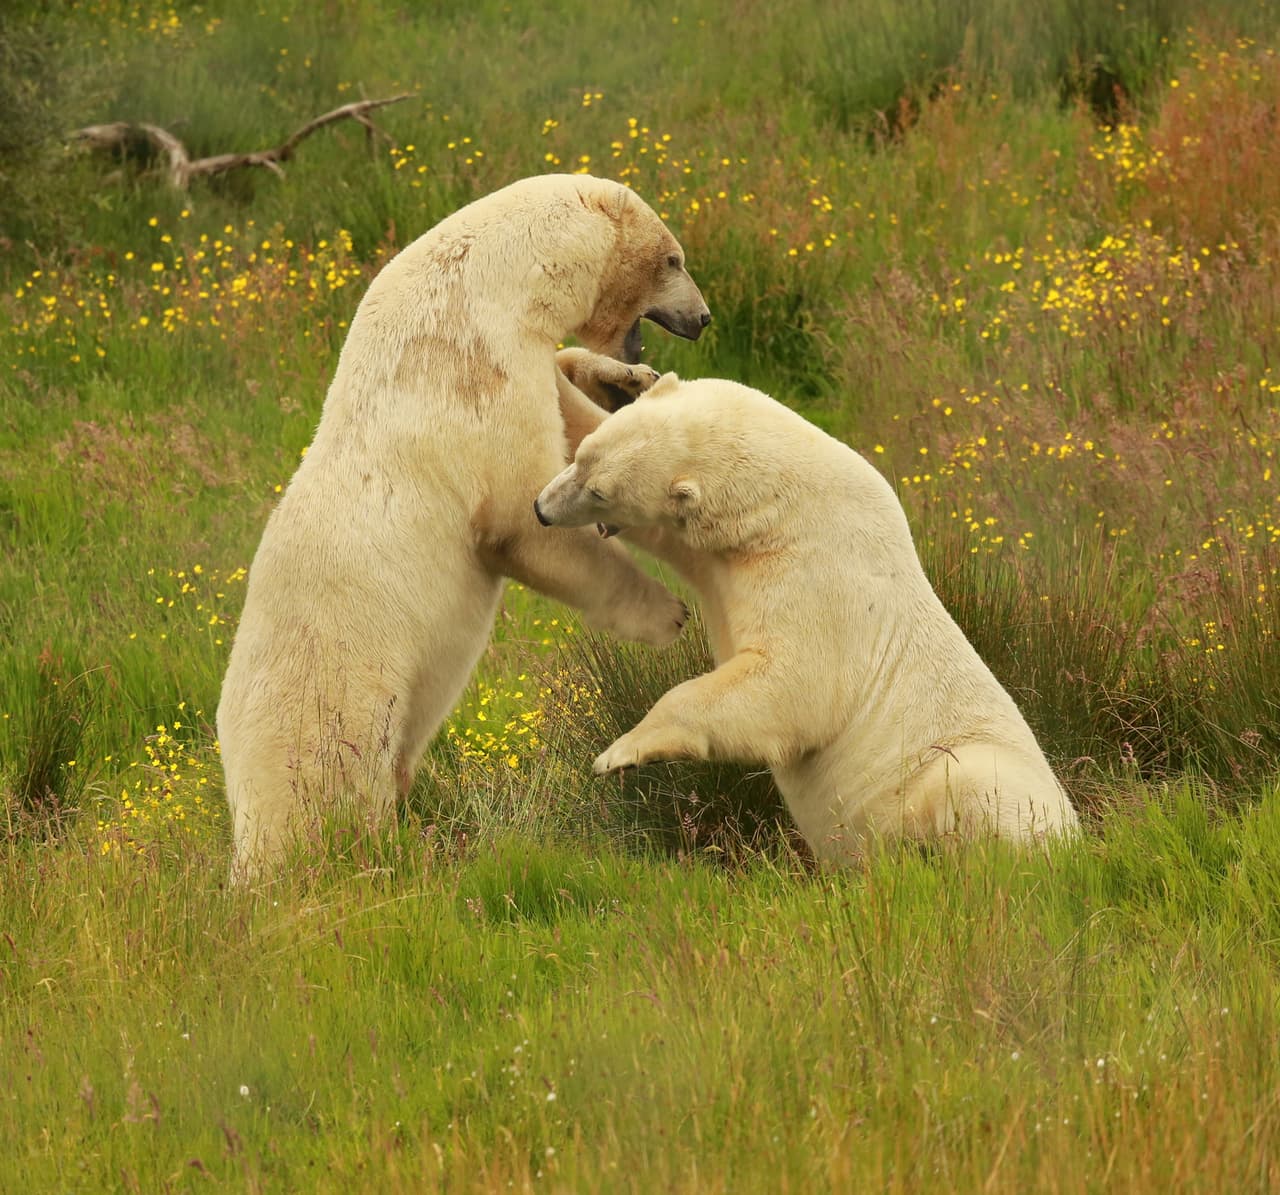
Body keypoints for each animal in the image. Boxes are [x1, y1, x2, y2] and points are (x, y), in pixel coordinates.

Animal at [217, 174, 710, 879]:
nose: (702, 318)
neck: (487, 286)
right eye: (673, 259)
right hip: (331, 700)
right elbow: (521, 517)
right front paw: (667, 612)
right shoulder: (473, 372)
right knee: (329, 793)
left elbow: (566, 393)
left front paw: (627, 381)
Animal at [533, 374, 1080, 861]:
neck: (782, 502)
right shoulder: (719, 556)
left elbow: (791, 684)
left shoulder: (817, 572)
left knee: (977, 786)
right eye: (581, 458)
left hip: (982, 779)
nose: (540, 508)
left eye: (600, 491)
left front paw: (618, 753)